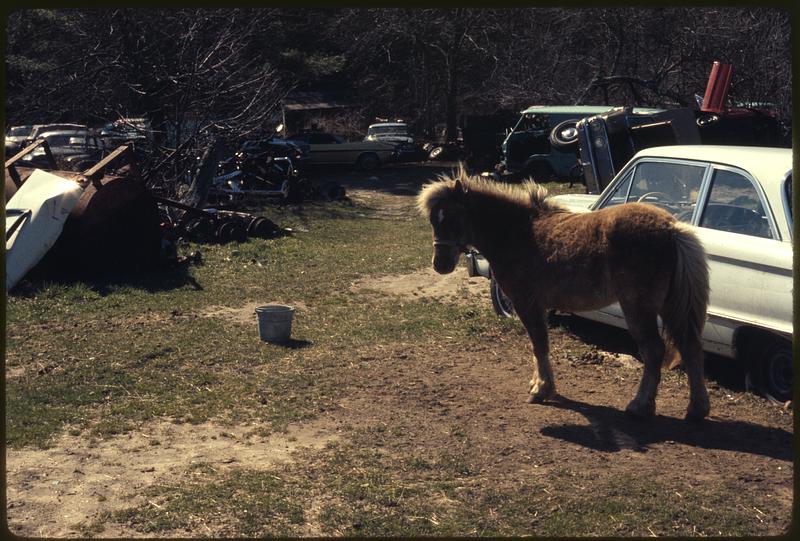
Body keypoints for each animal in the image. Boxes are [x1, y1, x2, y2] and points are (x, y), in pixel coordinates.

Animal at [416, 167, 708, 420]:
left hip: (638, 308)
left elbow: (539, 344)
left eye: (452, 217)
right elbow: (538, 346)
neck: (517, 233)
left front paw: (542, 389)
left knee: (654, 351)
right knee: (690, 346)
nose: (440, 264)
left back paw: (640, 405)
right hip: (668, 306)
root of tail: (671, 229)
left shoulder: (526, 303)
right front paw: (539, 384)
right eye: (432, 220)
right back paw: (696, 409)